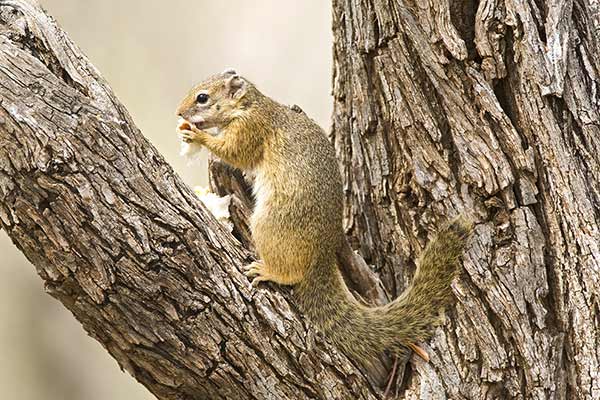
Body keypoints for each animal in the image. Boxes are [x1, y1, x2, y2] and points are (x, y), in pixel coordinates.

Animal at [176, 69, 472, 378]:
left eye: (202, 97)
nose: (179, 113)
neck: (251, 105)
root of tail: (322, 254)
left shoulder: (251, 130)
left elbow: (234, 153)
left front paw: (196, 134)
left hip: (270, 224)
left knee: (292, 273)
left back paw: (269, 271)